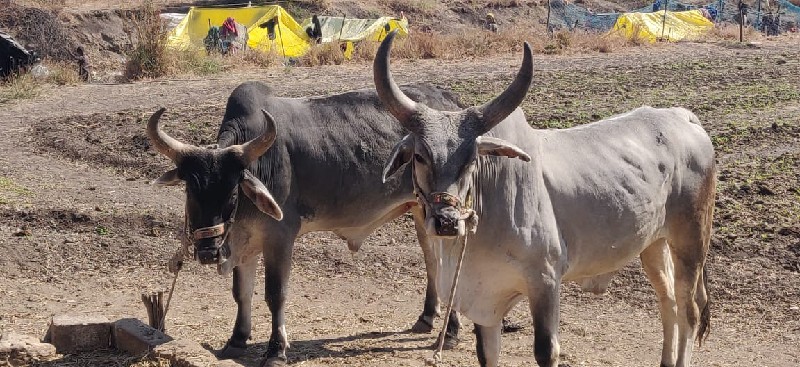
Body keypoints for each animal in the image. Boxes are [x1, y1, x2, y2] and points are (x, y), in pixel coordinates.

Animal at [146, 82, 466, 366]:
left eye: (233, 191)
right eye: (190, 190)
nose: (208, 252)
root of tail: (450, 100)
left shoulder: (280, 238)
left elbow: (275, 295)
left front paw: (276, 351)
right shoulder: (243, 241)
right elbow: (241, 292)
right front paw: (237, 339)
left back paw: (450, 333)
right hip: (420, 211)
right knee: (432, 260)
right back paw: (427, 317)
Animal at [378, 31, 716, 367]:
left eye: (472, 159)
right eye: (420, 156)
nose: (446, 221)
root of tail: (683, 117)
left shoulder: (545, 282)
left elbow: (545, 350)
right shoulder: (485, 300)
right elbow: (486, 353)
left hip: (691, 242)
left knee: (688, 311)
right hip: (653, 244)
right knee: (668, 302)